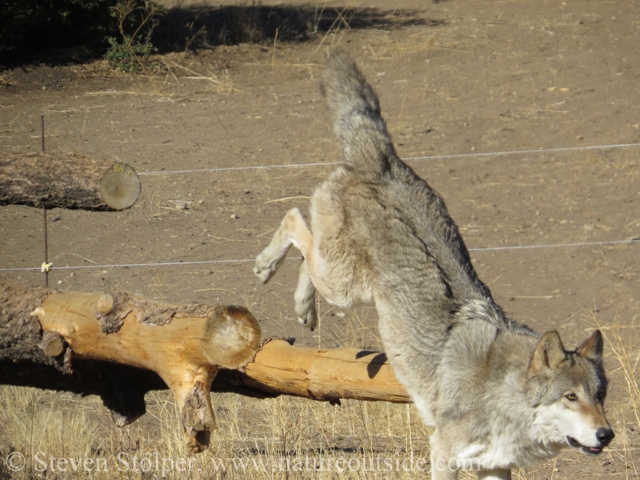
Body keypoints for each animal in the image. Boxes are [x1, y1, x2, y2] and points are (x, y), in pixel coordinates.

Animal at [252, 53, 612, 480]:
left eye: (600, 395)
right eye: (570, 397)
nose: (607, 434)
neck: (501, 391)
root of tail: (383, 160)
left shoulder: (496, 466)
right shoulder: (443, 453)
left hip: (348, 286)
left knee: (305, 248)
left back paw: (304, 309)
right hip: (343, 286)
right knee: (293, 219)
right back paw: (269, 271)